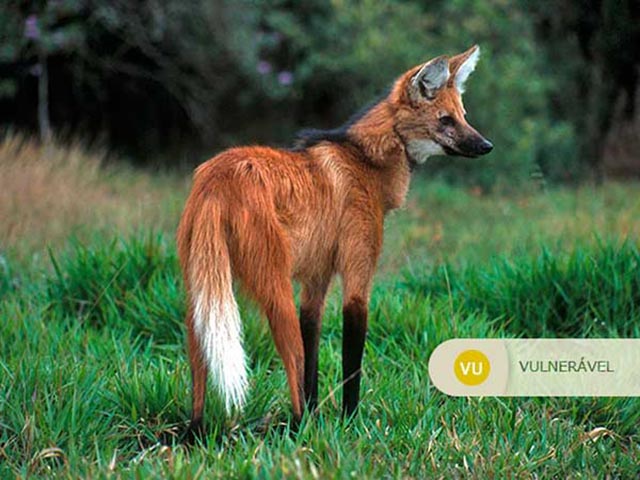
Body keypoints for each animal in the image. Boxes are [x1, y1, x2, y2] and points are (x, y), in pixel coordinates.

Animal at [178, 45, 492, 436]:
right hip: (273, 288)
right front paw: (350, 424)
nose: (486, 145)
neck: (366, 161)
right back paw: (299, 430)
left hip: (202, 288)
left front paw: (321, 415)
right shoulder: (356, 277)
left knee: (200, 363)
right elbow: (349, 363)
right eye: (446, 120)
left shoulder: (316, 280)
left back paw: (196, 433)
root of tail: (217, 179)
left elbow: (311, 357)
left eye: (464, 117)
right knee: (289, 361)